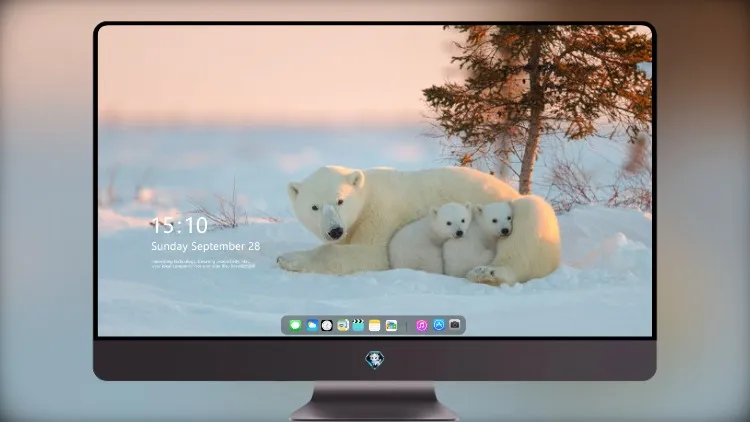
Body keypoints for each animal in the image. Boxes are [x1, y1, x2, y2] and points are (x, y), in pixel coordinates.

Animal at [277, 165, 520, 275]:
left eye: (340, 200)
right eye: (314, 207)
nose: (334, 230)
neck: (367, 194)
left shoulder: (379, 214)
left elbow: (372, 255)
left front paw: (287, 258)